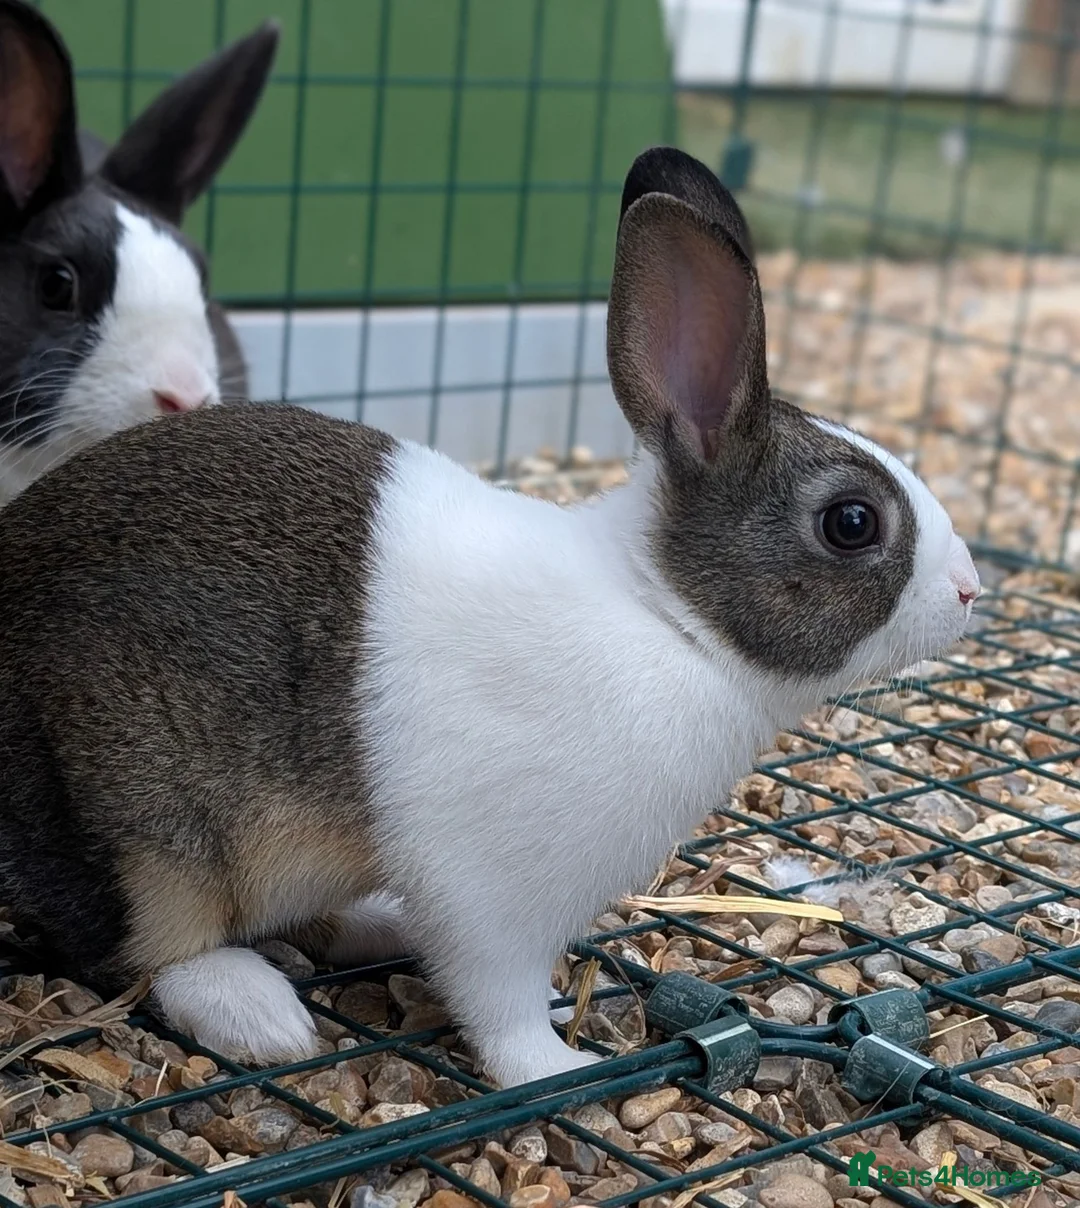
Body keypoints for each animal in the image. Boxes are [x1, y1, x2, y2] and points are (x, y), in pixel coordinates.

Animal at [0, 146, 980, 1089]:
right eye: (851, 523)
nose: (970, 588)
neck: (669, 617)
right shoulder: (497, 902)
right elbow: (500, 1005)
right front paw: (560, 1068)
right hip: (139, 838)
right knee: (142, 948)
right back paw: (258, 1013)